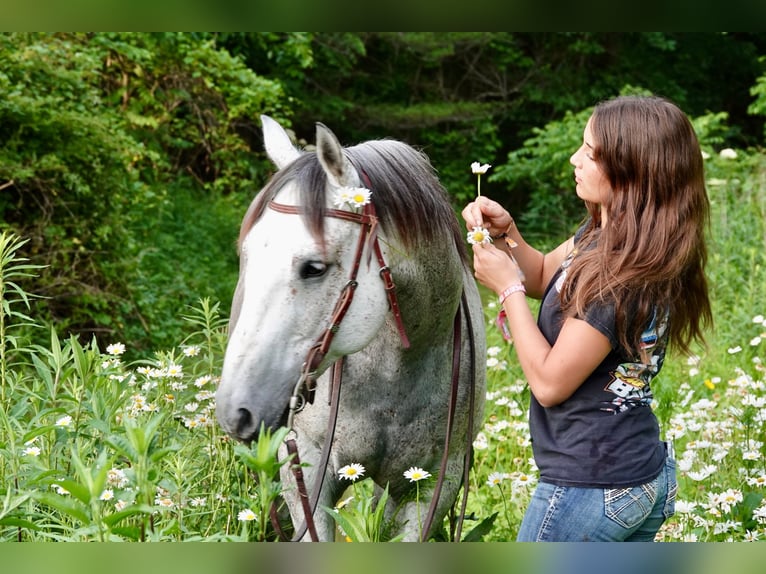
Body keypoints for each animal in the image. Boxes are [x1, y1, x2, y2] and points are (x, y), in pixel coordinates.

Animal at [215, 115, 486, 542]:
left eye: (314, 267)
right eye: (247, 254)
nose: (234, 410)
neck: (393, 372)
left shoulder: (434, 485)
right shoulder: (308, 468)